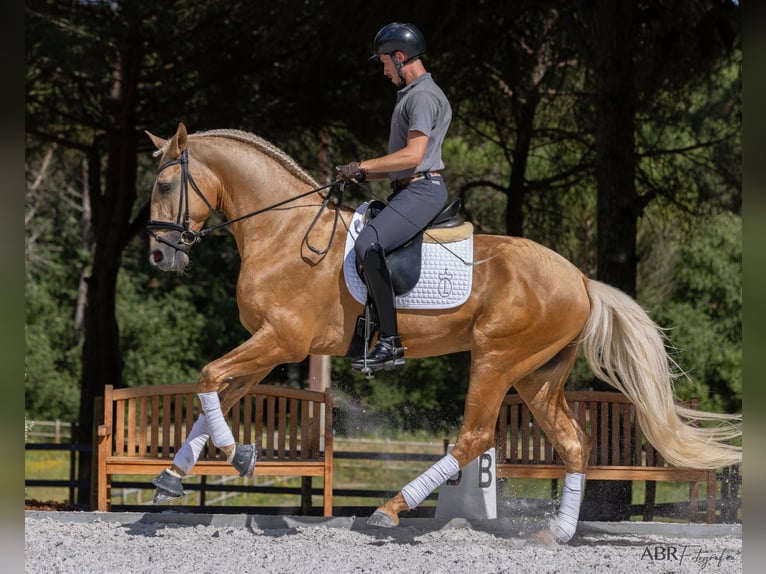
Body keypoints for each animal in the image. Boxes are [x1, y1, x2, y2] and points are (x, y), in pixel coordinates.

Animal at [146, 122, 744, 544]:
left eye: (166, 184)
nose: (160, 256)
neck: (284, 233)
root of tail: (580, 278)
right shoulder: (271, 349)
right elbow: (214, 394)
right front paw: (174, 476)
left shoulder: (281, 341)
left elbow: (208, 377)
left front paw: (238, 455)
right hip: (538, 374)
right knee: (573, 441)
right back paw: (555, 533)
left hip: (496, 358)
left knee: (475, 436)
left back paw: (390, 510)